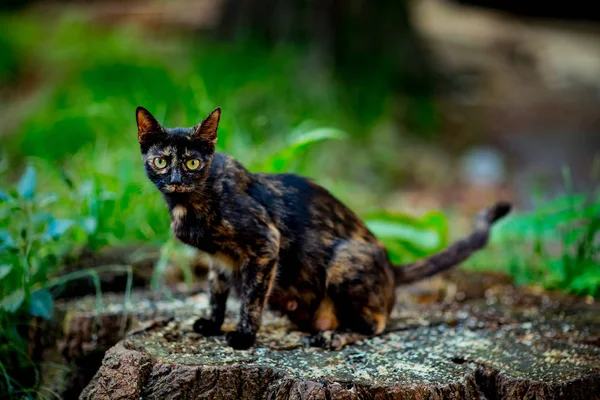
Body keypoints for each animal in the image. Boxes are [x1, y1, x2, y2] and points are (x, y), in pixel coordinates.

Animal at [136, 106, 510, 350]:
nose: (175, 179)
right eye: (161, 161)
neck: (190, 204)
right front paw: (211, 324)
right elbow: (216, 292)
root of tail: (392, 267)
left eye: (192, 162)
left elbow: (251, 299)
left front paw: (243, 337)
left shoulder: (265, 243)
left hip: (344, 261)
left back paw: (333, 336)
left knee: (377, 323)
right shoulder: (218, 259)